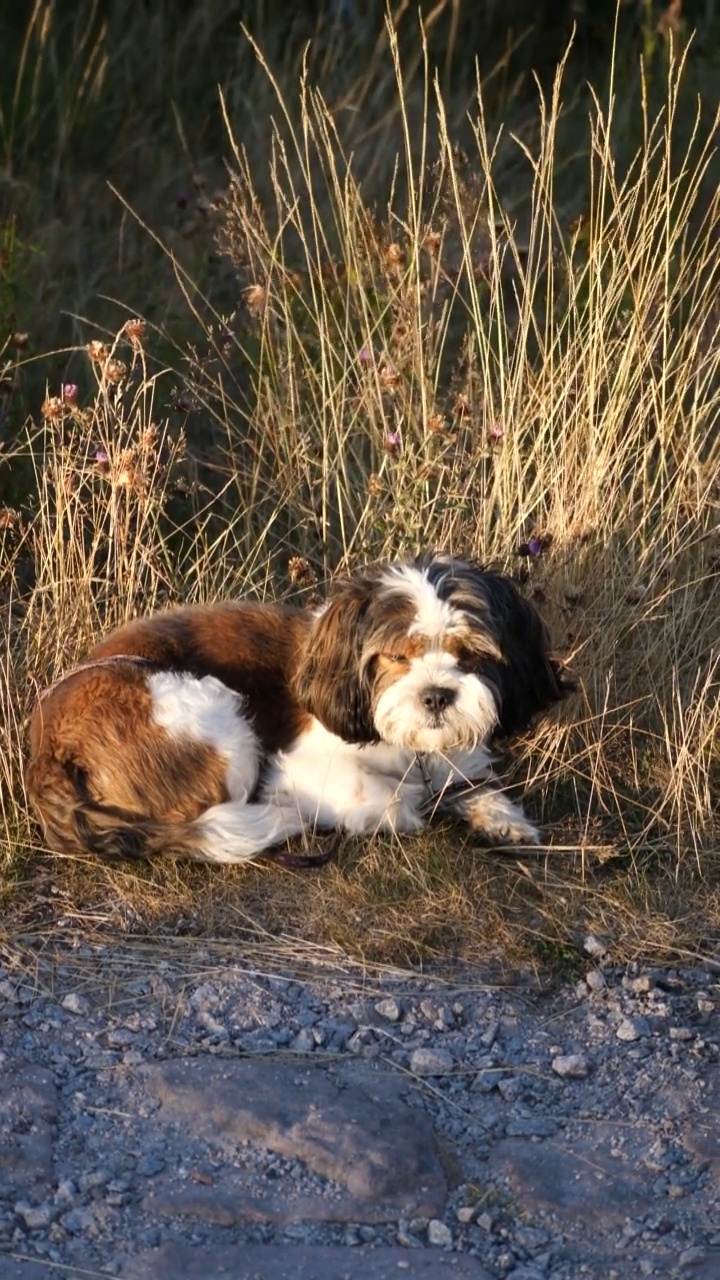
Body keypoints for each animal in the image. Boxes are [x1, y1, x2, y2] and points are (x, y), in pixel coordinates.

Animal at [25, 552, 568, 865]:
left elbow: (471, 783)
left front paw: (501, 817)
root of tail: (47, 746)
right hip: (220, 724)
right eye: (397, 656)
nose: (436, 694)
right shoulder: (304, 768)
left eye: (470, 653)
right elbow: (396, 801)